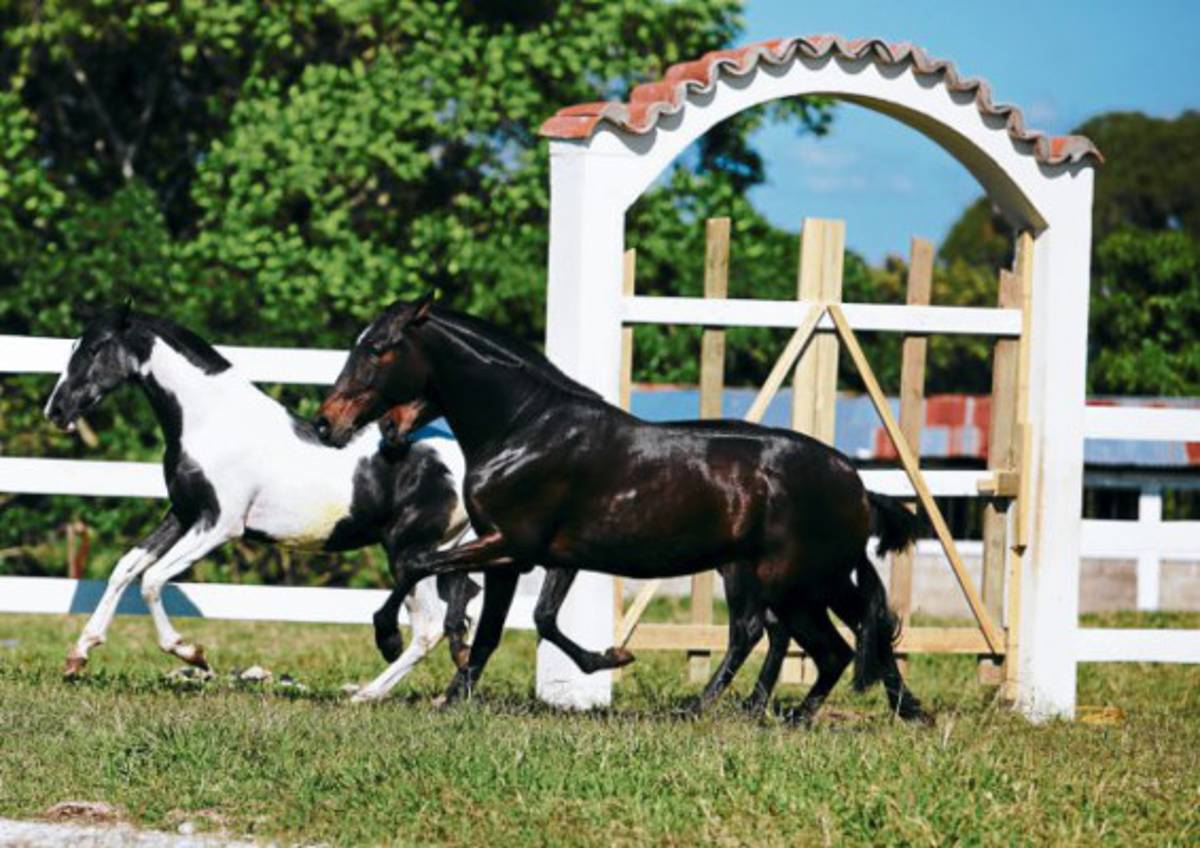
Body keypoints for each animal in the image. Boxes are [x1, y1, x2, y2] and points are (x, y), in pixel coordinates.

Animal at [43, 304, 481, 703]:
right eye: (73, 347)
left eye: (94, 349)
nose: (56, 410)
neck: (211, 420)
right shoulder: (183, 513)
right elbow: (126, 567)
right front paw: (78, 655)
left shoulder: (220, 524)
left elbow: (151, 579)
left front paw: (192, 654)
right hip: (440, 552)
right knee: (459, 616)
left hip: (407, 549)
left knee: (429, 627)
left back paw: (365, 695)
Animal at [314, 298, 928, 723]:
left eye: (378, 347)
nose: (327, 423)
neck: (526, 428)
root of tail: (856, 483)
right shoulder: (529, 557)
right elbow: (516, 625)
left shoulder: (511, 546)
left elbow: (421, 570)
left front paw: (399, 647)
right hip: (809, 579)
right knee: (847, 635)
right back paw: (886, 710)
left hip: (791, 580)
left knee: (810, 640)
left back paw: (743, 712)